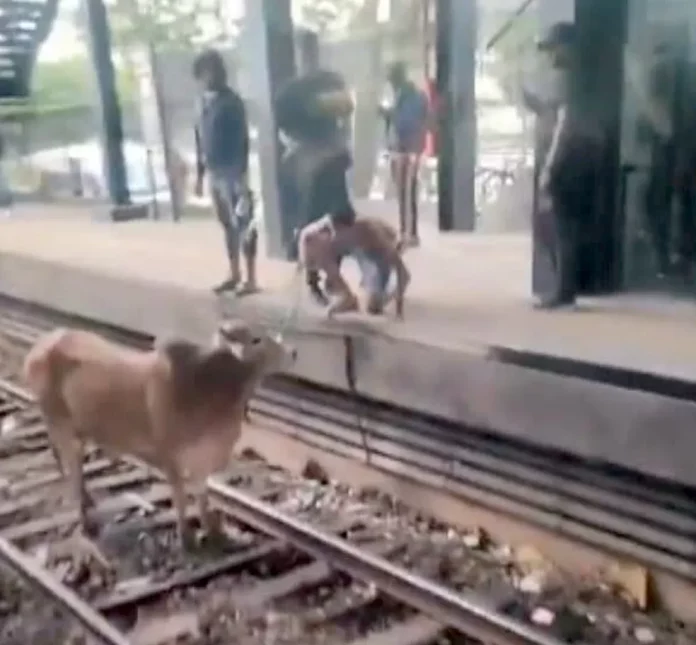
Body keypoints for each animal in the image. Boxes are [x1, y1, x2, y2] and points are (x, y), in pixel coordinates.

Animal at [23, 320, 294, 556]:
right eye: (256, 339)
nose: (293, 351)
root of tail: (43, 343)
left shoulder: (202, 459)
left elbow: (202, 496)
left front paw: (215, 533)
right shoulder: (171, 459)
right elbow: (181, 499)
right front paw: (187, 539)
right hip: (60, 425)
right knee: (72, 470)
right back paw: (86, 521)